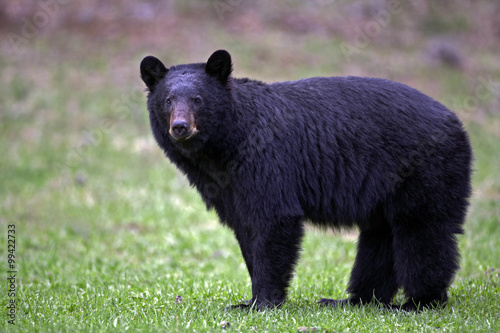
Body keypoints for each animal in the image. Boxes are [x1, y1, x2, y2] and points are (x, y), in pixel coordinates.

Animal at [141, 49, 472, 312]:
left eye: (197, 99)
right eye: (168, 100)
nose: (180, 127)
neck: (224, 146)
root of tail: (457, 122)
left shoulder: (267, 160)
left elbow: (275, 219)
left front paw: (262, 302)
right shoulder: (228, 187)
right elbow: (245, 229)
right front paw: (247, 301)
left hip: (425, 170)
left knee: (422, 231)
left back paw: (418, 303)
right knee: (380, 237)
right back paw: (353, 300)